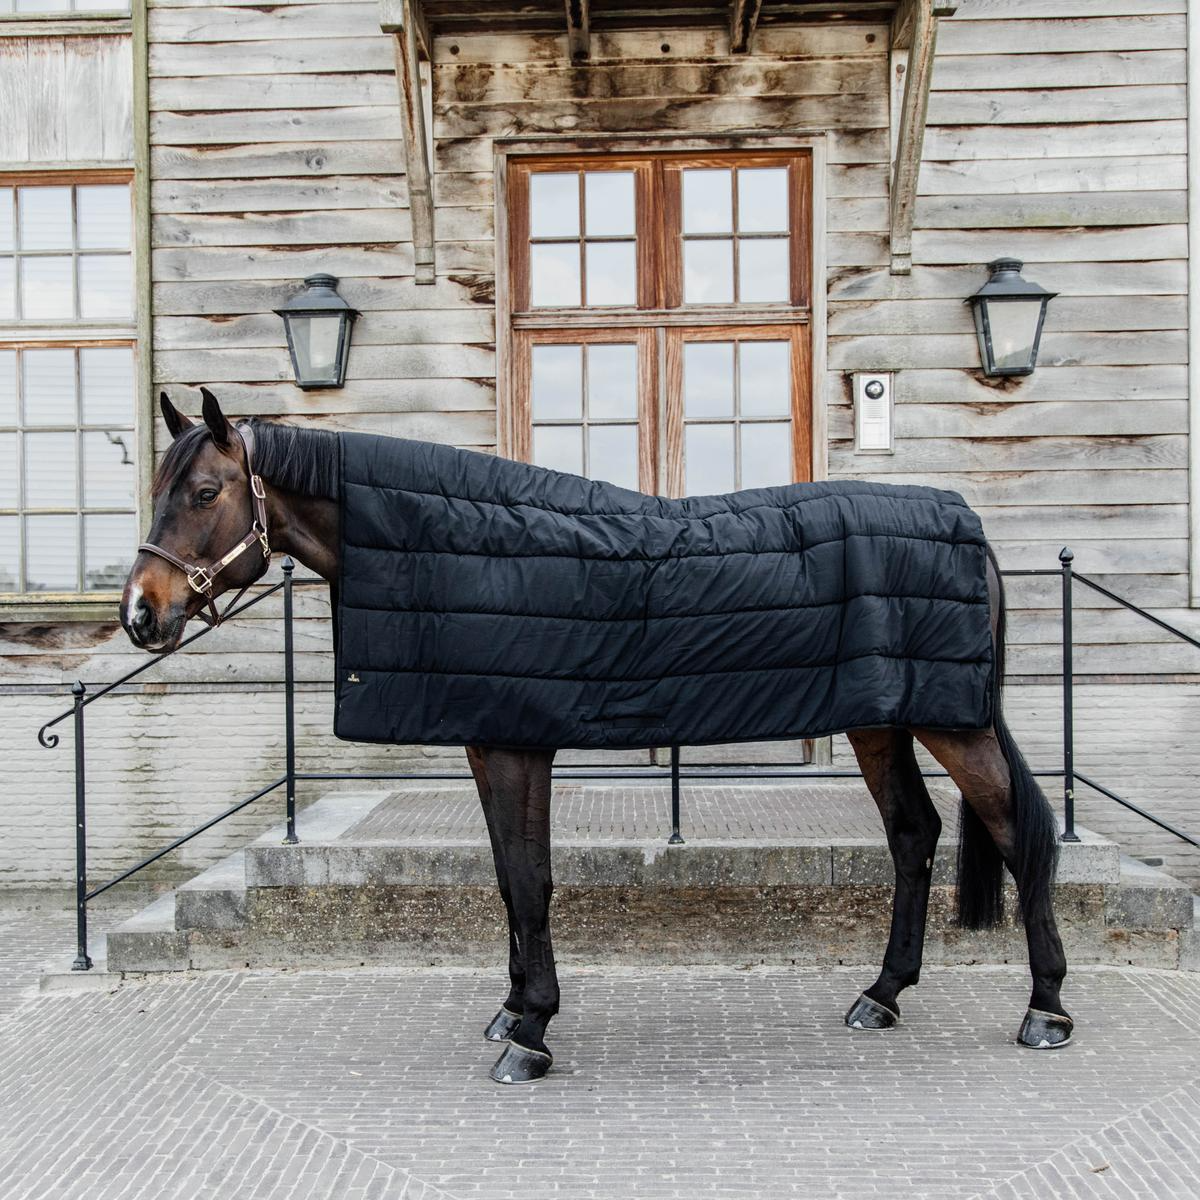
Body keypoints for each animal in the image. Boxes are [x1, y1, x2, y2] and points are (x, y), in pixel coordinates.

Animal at [120, 388, 1071, 1085]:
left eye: (204, 493)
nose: (140, 614)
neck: (459, 544)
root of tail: (967, 523)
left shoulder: (517, 744)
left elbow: (532, 881)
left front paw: (532, 1033)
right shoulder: (489, 738)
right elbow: (509, 881)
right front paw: (513, 1009)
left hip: (951, 721)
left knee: (1018, 831)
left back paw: (1046, 1011)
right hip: (883, 720)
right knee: (914, 833)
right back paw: (882, 995)